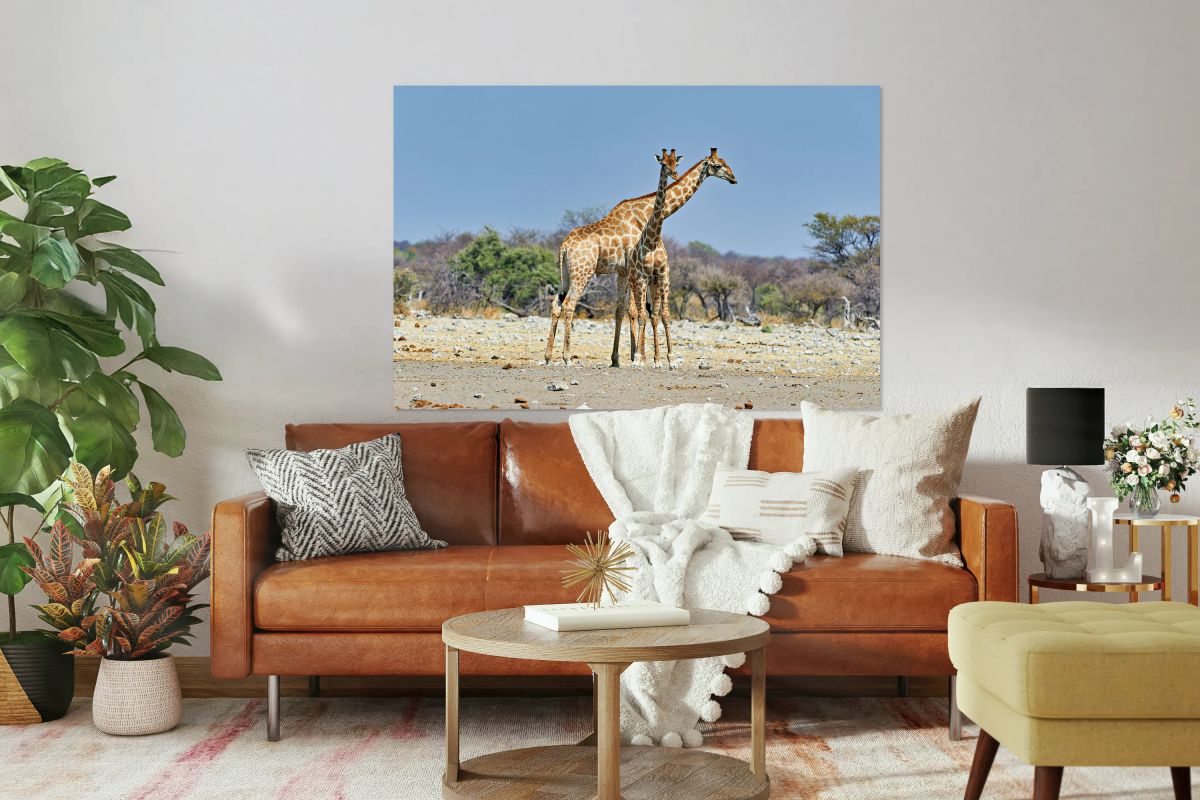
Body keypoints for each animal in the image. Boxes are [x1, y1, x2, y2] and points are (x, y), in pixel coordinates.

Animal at [544, 147, 738, 367]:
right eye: (717, 165)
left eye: (725, 162)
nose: (733, 178)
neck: (644, 212)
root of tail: (564, 246)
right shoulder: (634, 271)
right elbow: (637, 311)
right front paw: (639, 355)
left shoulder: (623, 272)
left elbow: (622, 310)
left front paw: (619, 358)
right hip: (582, 272)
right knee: (569, 304)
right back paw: (567, 357)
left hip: (566, 273)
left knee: (556, 304)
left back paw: (548, 356)